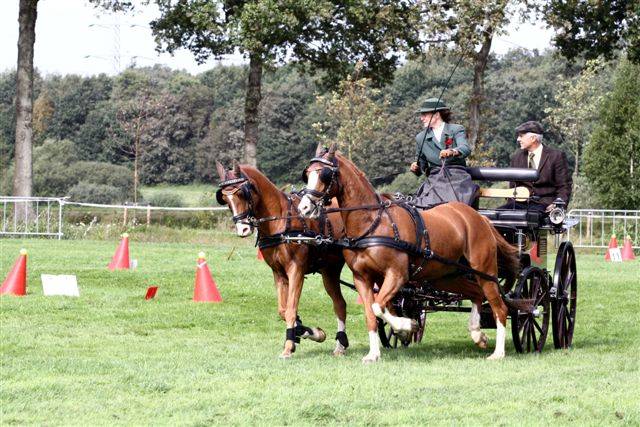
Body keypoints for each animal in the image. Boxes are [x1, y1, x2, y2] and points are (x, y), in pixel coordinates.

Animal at [215, 161, 350, 358]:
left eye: (242, 193)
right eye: (224, 198)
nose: (243, 229)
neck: (280, 223)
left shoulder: (296, 270)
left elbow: (291, 309)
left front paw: (288, 347)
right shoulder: (279, 273)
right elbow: (283, 310)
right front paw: (306, 332)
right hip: (329, 271)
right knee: (340, 304)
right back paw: (340, 345)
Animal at [297, 144, 520, 363]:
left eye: (325, 174)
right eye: (307, 174)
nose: (304, 208)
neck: (372, 223)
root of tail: (480, 218)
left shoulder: (397, 274)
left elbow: (378, 307)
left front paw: (407, 326)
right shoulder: (362, 278)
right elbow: (371, 314)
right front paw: (374, 353)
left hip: (485, 271)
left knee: (499, 308)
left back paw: (498, 353)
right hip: (447, 276)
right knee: (476, 294)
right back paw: (477, 334)